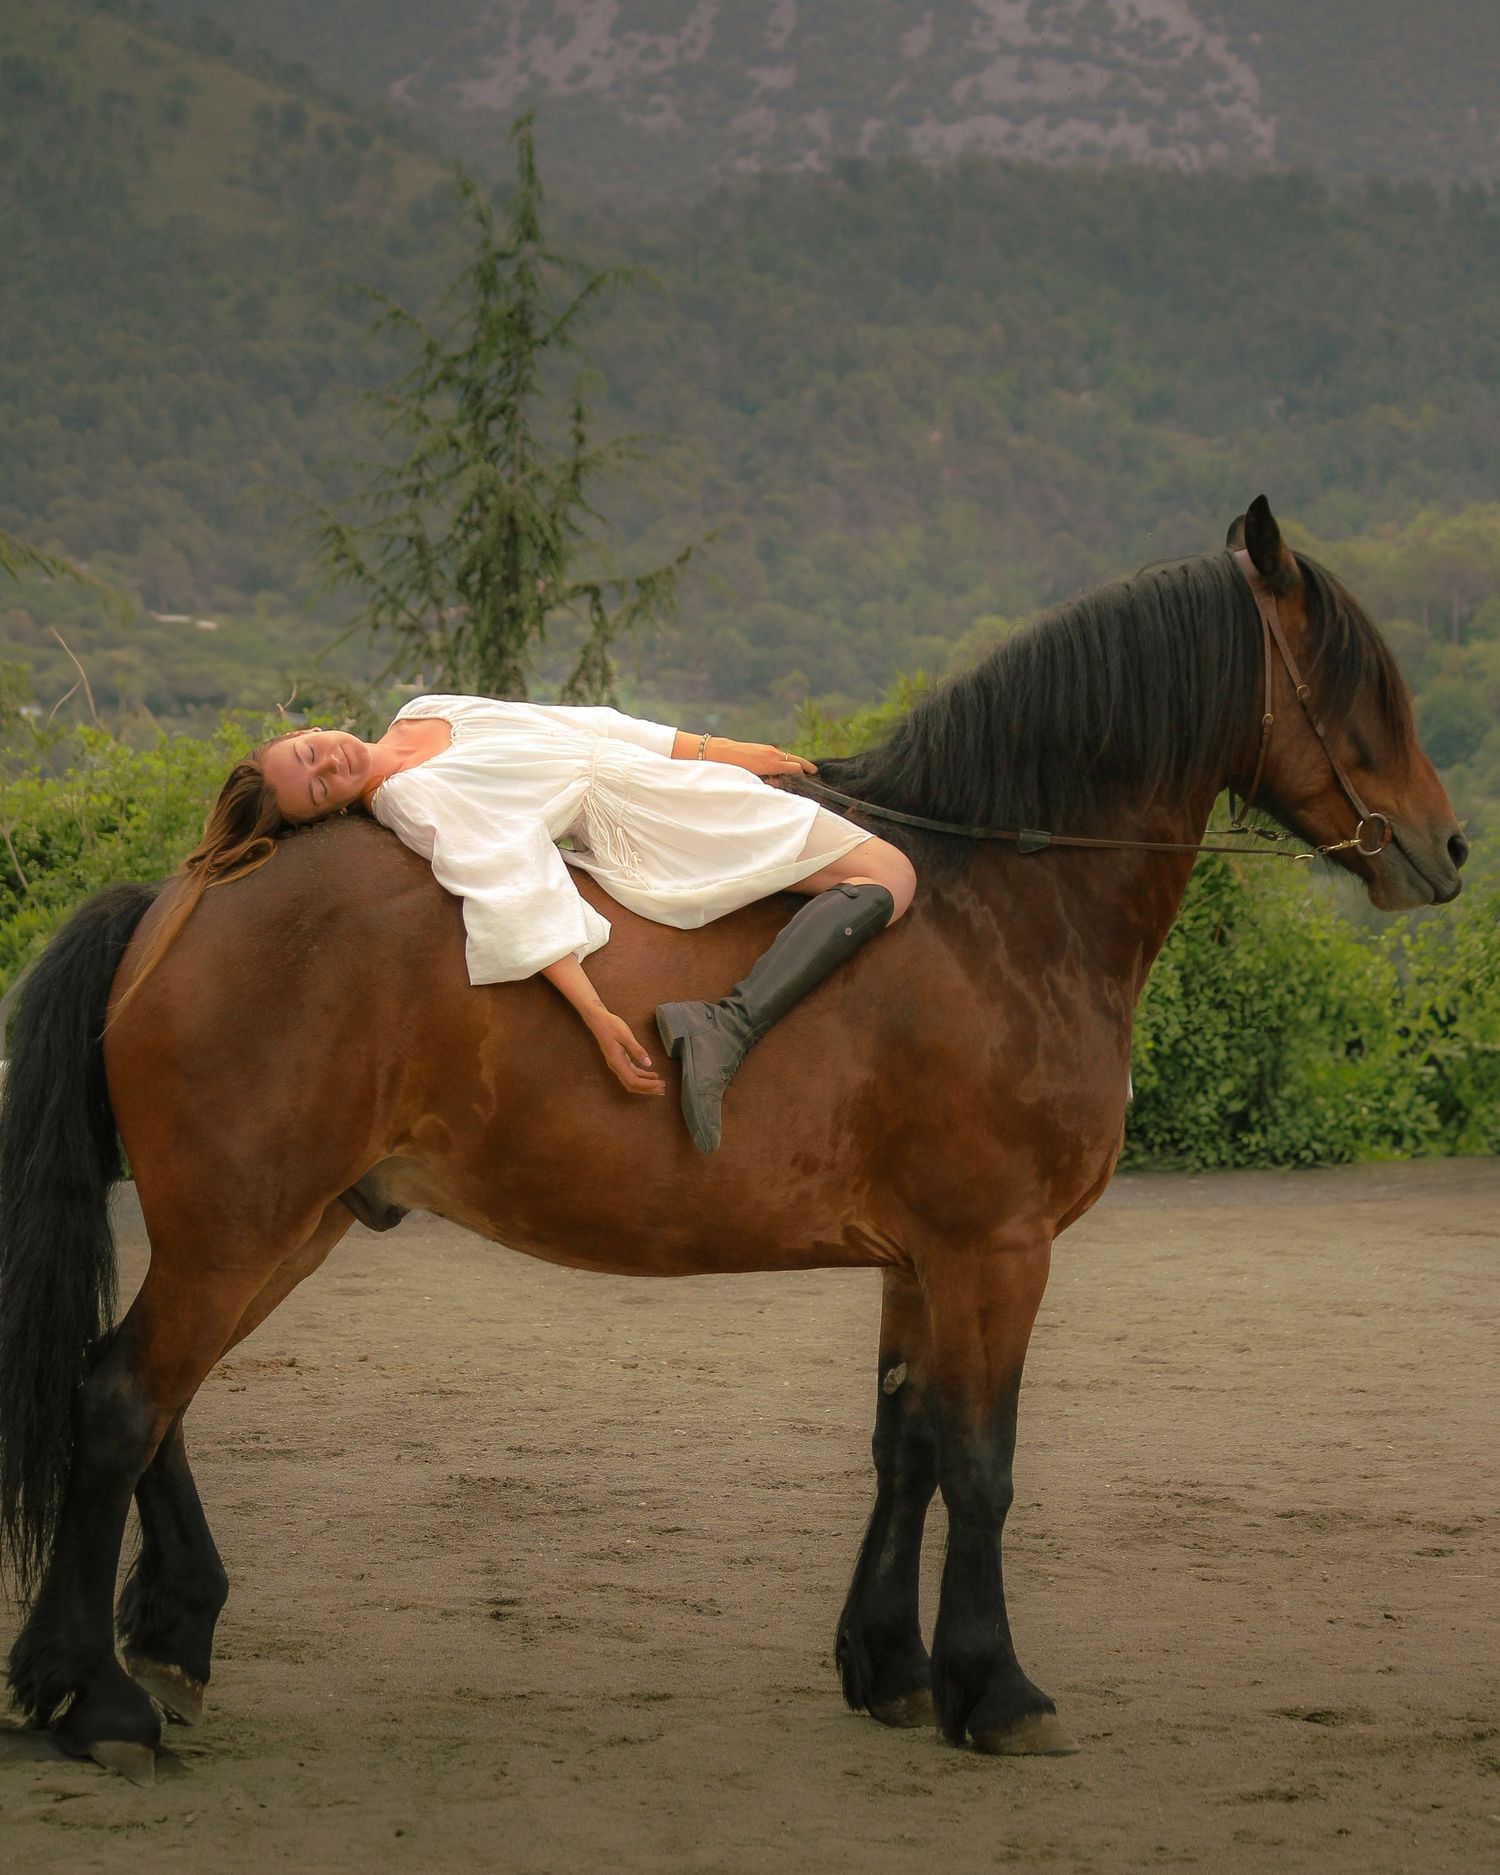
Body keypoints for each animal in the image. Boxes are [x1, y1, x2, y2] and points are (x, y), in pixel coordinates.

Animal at [0, 498, 1466, 1785]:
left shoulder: (919, 1262)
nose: (1447, 850)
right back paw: (102, 1701)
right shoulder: (996, 1249)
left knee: (148, 1396)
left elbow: (908, 1448)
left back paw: (149, 1648)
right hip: (240, 1223)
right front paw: (997, 1689)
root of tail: (180, 895)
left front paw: (894, 1668)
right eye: (1361, 682)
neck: (1001, 901)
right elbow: (982, 1464)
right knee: (122, 1400)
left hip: (288, 1224)